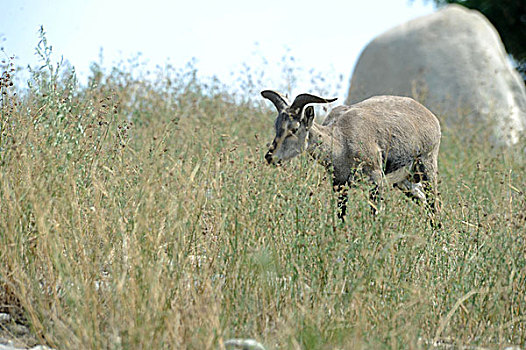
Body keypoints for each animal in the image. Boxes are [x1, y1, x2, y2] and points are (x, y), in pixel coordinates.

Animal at [262, 89, 442, 223]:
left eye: (294, 128)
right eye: (277, 126)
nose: (270, 157)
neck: (341, 140)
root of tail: (431, 118)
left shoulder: (376, 180)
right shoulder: (340, 185)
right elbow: (341, 216)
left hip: (427, 168)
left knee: (435, 205)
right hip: (404, 182)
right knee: (424, 202)